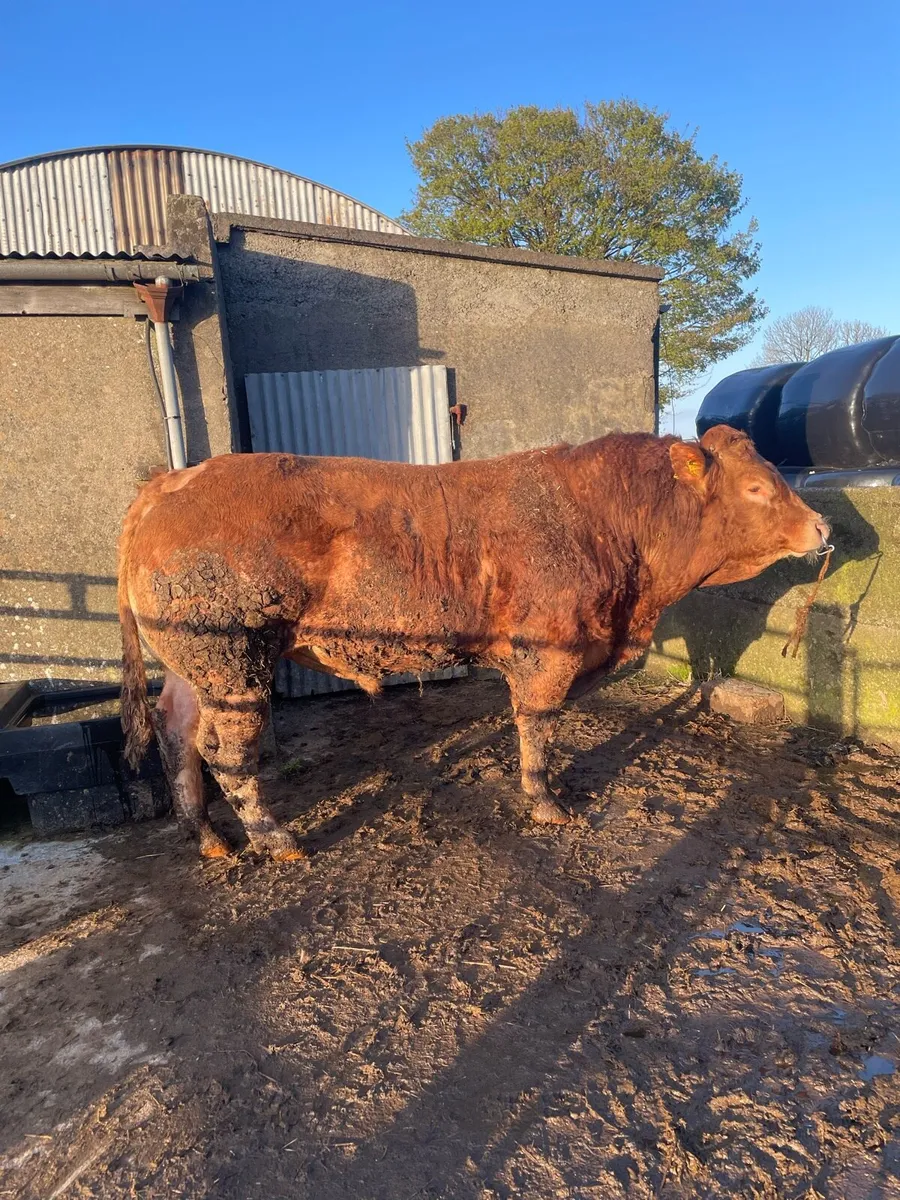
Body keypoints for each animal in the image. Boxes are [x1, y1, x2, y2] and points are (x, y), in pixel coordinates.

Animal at [118, 425, 830, 861]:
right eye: (758, 487)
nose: (822, 527)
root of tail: (172, 481)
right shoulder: (548, 652)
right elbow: (538, 726)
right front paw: (546, 801)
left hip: (196, 665)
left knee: (177, 730)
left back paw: (206, 835)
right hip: (232, 659)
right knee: (225, 750)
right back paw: (274, 837)